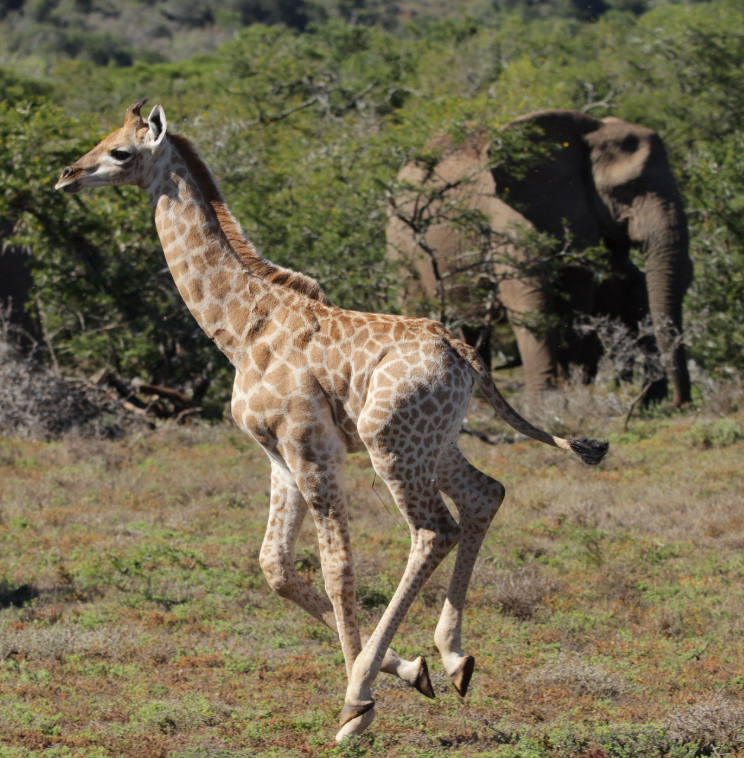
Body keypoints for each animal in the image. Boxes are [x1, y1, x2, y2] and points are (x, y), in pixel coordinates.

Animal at [55, 101, 608, 744]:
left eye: (121, 151)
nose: (67, 175)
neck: (239, 328)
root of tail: (463, 352)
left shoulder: (310, 444)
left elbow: (337, 569)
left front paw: (361, 703)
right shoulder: (277, 456)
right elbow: (274, 566)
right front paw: (409, 668)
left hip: (388, 443)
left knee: (433, 530)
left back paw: (369, 687)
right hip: (432, 441)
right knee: (485, 494)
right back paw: (451, 657)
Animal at [386, 109, 696, 406]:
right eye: (628, 188)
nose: (677, 405)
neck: (589, 133)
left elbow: (576, 299)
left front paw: (574, 392)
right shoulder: (508, 216)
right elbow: (528, 299)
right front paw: (546, 400)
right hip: (403, 243)